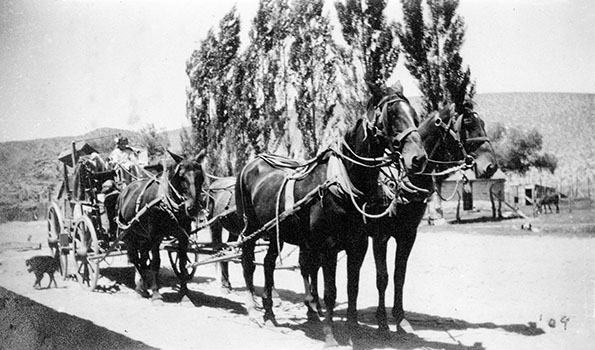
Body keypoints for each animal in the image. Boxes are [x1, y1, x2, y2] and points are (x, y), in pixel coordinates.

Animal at [116, 150, 207, 300]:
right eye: (181, 177)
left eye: (200, 176)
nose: (193, 208)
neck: (166, 201)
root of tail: (123, 192)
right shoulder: (155, 236)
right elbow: (156, 263)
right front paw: (156, 294)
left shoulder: (183, 236)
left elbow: (182, 263)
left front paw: (184, 292)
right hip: (129, 235)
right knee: (135, 259)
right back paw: (142, 288)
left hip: (144, 237)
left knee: (142, 259)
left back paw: (143, 286)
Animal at [235, 86, 426, 346]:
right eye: (393, 115)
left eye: (415, 116)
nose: (418, 158)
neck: (343, 183)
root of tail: (252, 163)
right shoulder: (328, 247)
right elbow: (330, 292)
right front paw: (330, 335)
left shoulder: (358, 245)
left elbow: (352, 287)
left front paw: (353, 328)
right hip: (251, 228)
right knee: (247, 261)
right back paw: (254, 310)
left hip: (275, 232)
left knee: (268, 263)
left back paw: (269, 313)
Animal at [368, 102, 498, 334]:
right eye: (468, 123)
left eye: (482, 123)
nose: (491, 166)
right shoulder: (380, 236)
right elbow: (382, 277)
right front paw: (382, 321)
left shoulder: (408, 235)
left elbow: (399, 275)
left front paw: (400, 319)